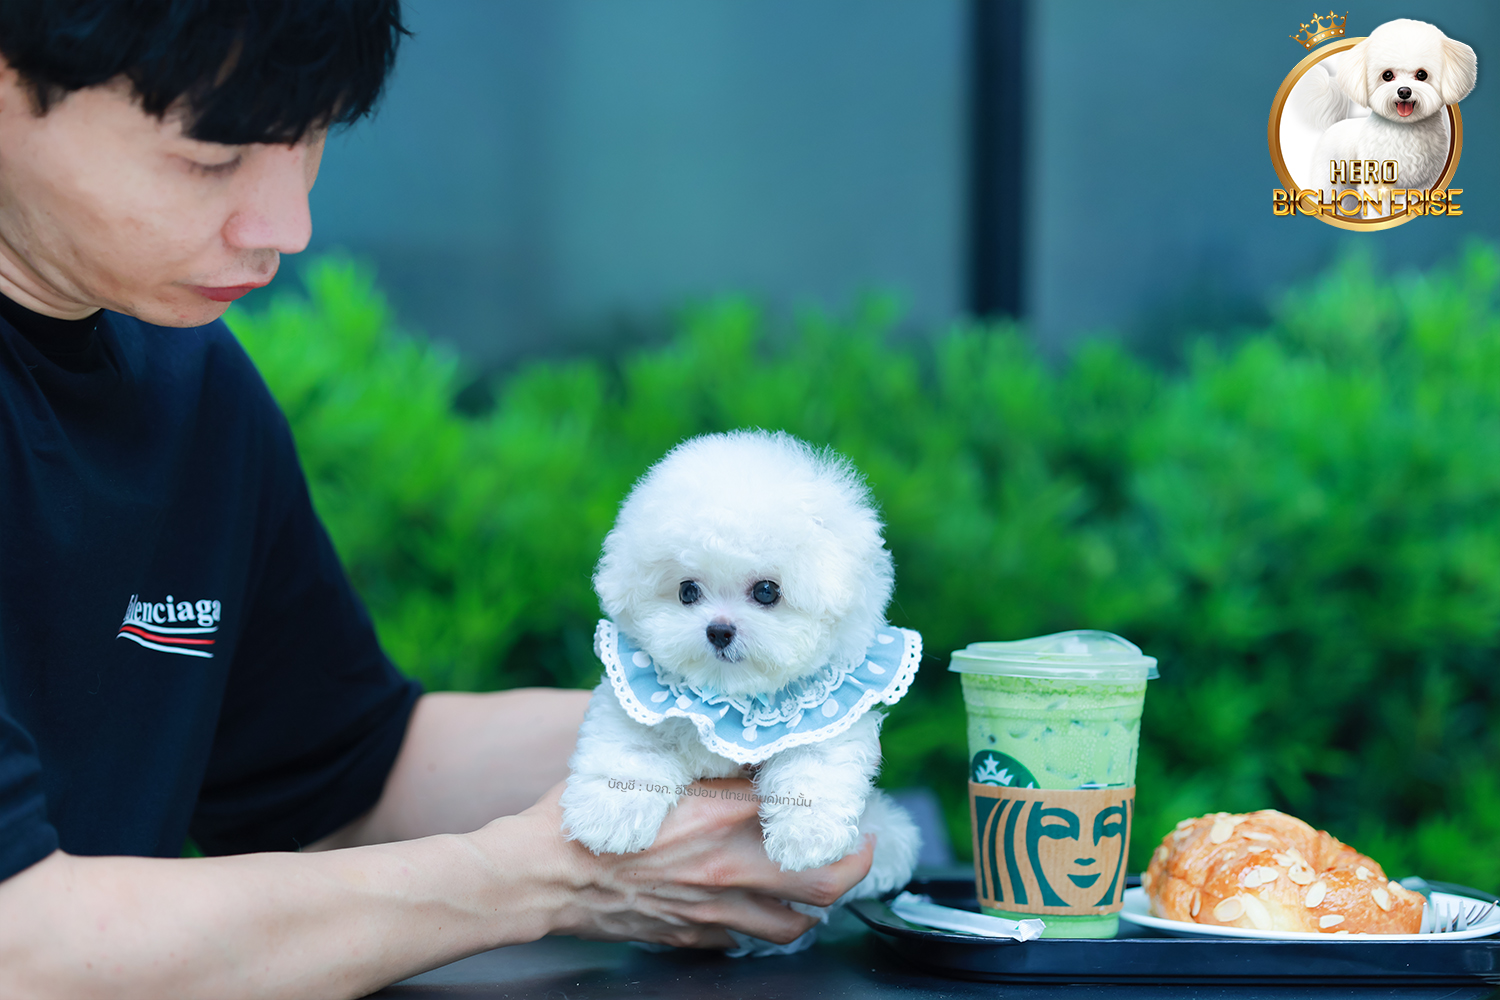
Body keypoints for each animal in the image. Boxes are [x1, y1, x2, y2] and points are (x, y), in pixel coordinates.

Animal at [560, 430, 922, 955]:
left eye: (767, 591)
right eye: (687, 591)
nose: (718, 630)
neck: (731, 697)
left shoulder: (830, 715)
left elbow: (816, 763)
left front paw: (806, 835)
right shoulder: (632, 700)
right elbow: (627, 749)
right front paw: (608, 816)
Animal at [1309, 19, 1477, 199]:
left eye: (1422, 74)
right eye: (1387, 75)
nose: (1404, 91)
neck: (1405, 129)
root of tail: (1336, 124)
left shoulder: (1425, 183)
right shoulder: (1375, 182)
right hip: (1329, 181)